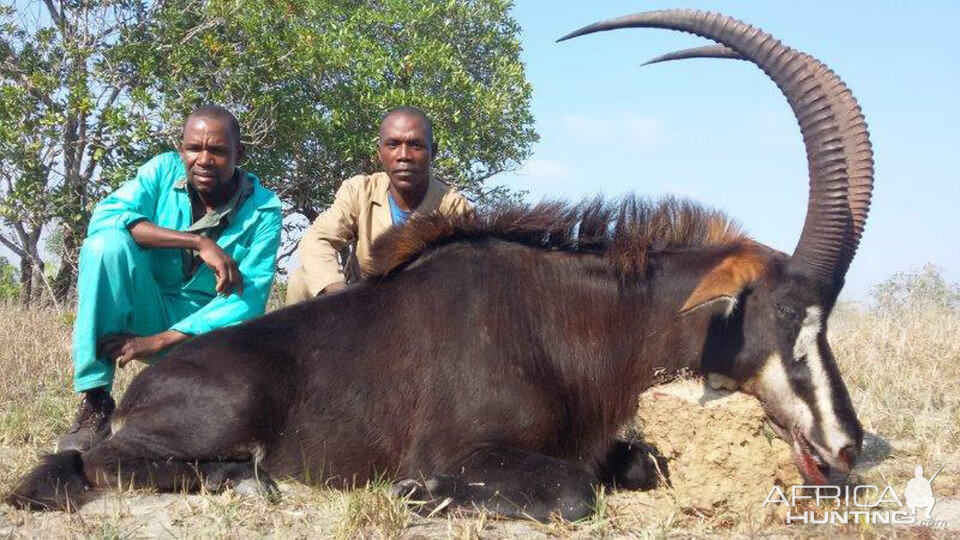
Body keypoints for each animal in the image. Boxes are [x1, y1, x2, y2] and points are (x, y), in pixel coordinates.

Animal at [9, 10, 876, 520]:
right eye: (788, 317)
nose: (846, 451)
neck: (567, 320)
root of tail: (144, 383)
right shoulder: (470, 451)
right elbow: (572, 492)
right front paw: (419, 494)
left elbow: (636, 466)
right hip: (217, 412)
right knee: (98, 462)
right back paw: (241, 478)